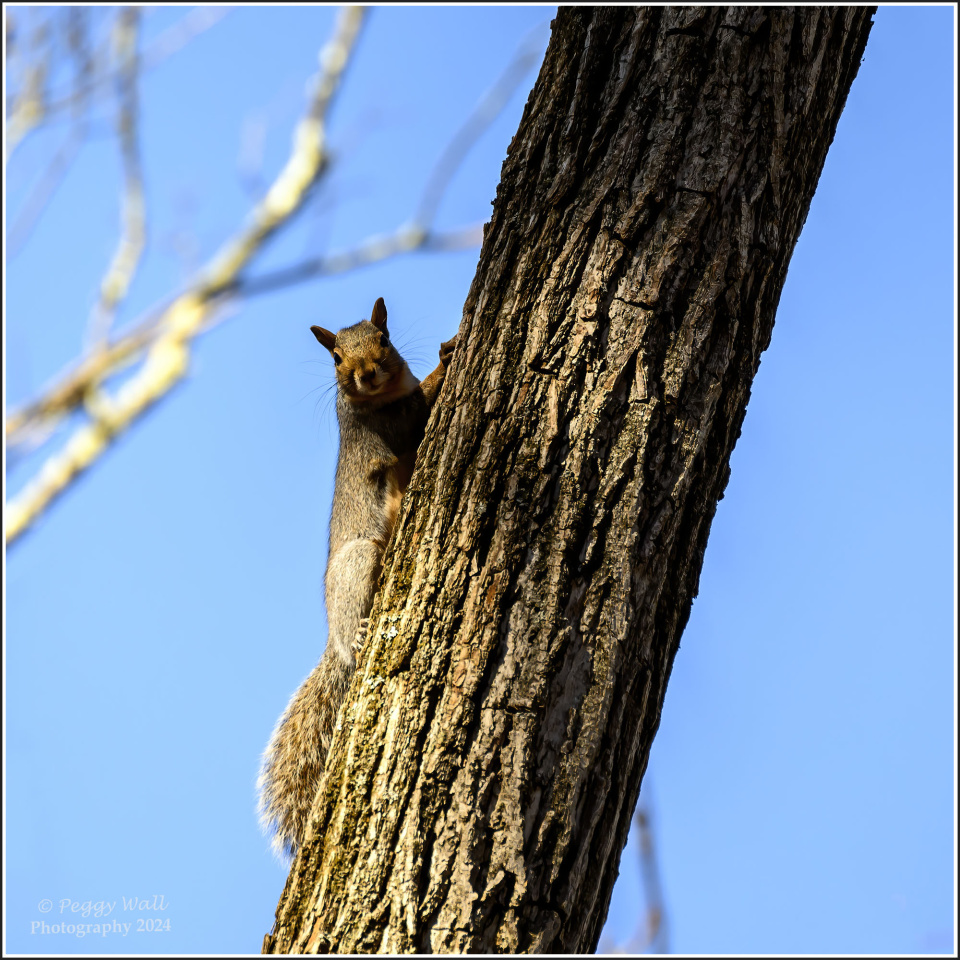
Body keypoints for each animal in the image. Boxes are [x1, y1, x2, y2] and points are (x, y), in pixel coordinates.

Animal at [257, 297, 457, 860]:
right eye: (334, 358)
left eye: (383, 339)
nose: (364, 373)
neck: (378, 398)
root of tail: (333, 641)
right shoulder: (389, 428)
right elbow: (425, 404)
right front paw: (450, 352)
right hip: (360, 561)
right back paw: (361, 633)